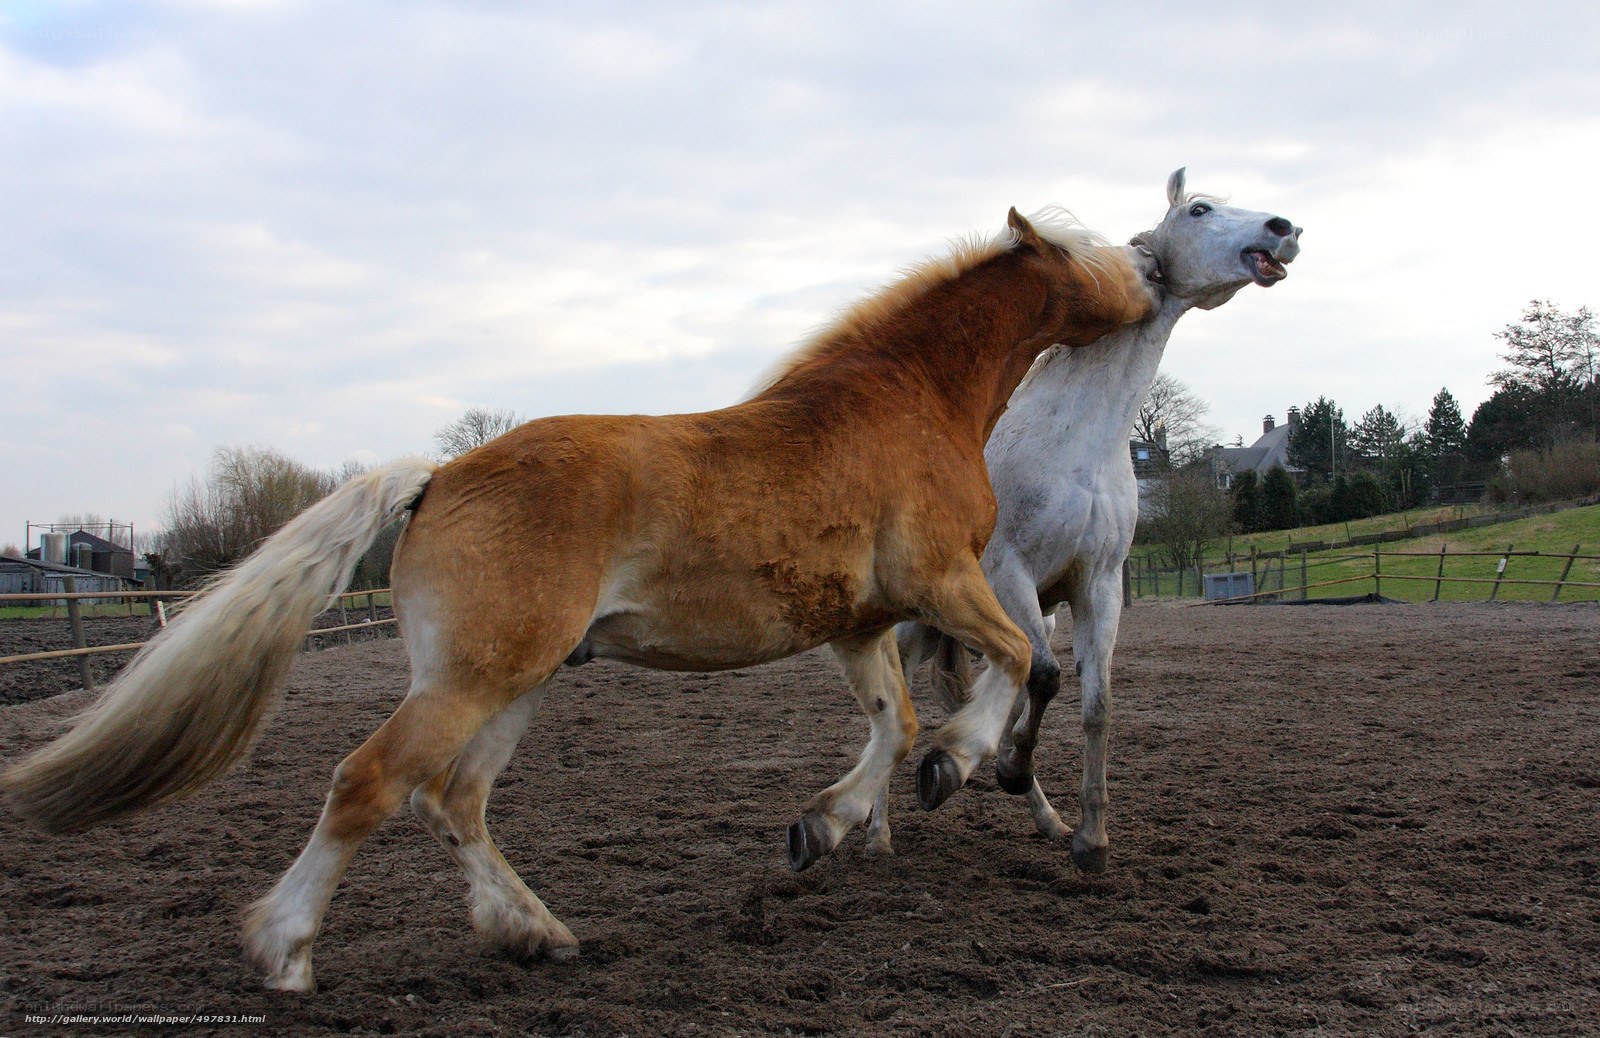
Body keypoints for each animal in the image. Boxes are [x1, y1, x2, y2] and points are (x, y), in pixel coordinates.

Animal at [3, 207, 1157, 992]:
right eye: (1091, 252)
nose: (1148, 284)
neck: (909, 400)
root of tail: (437, 477)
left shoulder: (859, 625)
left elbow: (894, 722)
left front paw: (825, 826)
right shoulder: (944, 582)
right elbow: (1013, 664)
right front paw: (958, 767)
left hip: (517, 682)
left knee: (453, 801)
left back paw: (537, 933)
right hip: (473, 680)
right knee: (370, 784)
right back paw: (287, 953)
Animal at [888, 169, 1302, 873]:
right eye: (1199, 209)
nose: (1284, 228)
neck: (1078, 445)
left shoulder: (1097, 586)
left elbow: (1093, 704)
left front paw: (1088, 838)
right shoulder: (1011, 574)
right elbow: (1046, 677)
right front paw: (1006, 771)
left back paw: (1030, 809)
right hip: (915, 628)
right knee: (891, 712)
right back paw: (876, 836)